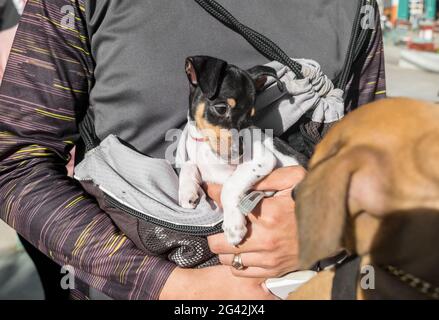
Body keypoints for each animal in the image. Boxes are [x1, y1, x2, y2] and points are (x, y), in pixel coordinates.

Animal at [180, 55, 302, 245]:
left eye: (250, 117)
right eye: (221, 108)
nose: (243, 151)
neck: (205, 146)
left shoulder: (262, 160)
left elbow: (230, 185)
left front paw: (233, 225)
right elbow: (188, 165)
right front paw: (187, 191)